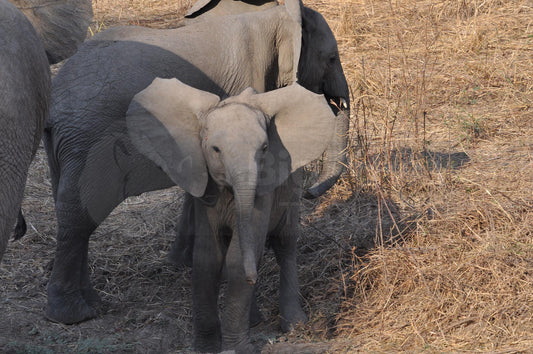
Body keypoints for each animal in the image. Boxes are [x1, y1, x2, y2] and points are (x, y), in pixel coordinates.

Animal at [127, 79, 334, 352]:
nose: (252, 279)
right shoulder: (204, 187)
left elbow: (238, 258)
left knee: (284, 243)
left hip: (292, 188)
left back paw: (294, 324)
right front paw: (206, 347)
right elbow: (207, 258)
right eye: (215, 149)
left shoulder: (264, 189)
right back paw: (255, 319)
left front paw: (237, 348)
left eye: (264, 148)